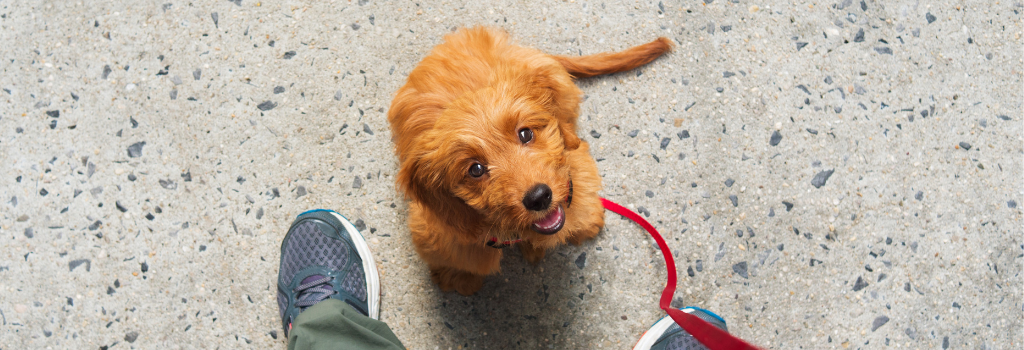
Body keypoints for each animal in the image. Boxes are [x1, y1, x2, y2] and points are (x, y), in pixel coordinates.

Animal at [387, 27, 667, 294]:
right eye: (475, 169)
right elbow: (460, 257)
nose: (539, 197)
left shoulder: (574, 168)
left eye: (525, 133)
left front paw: (585, 222)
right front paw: (459, 277)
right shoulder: (440, 230)